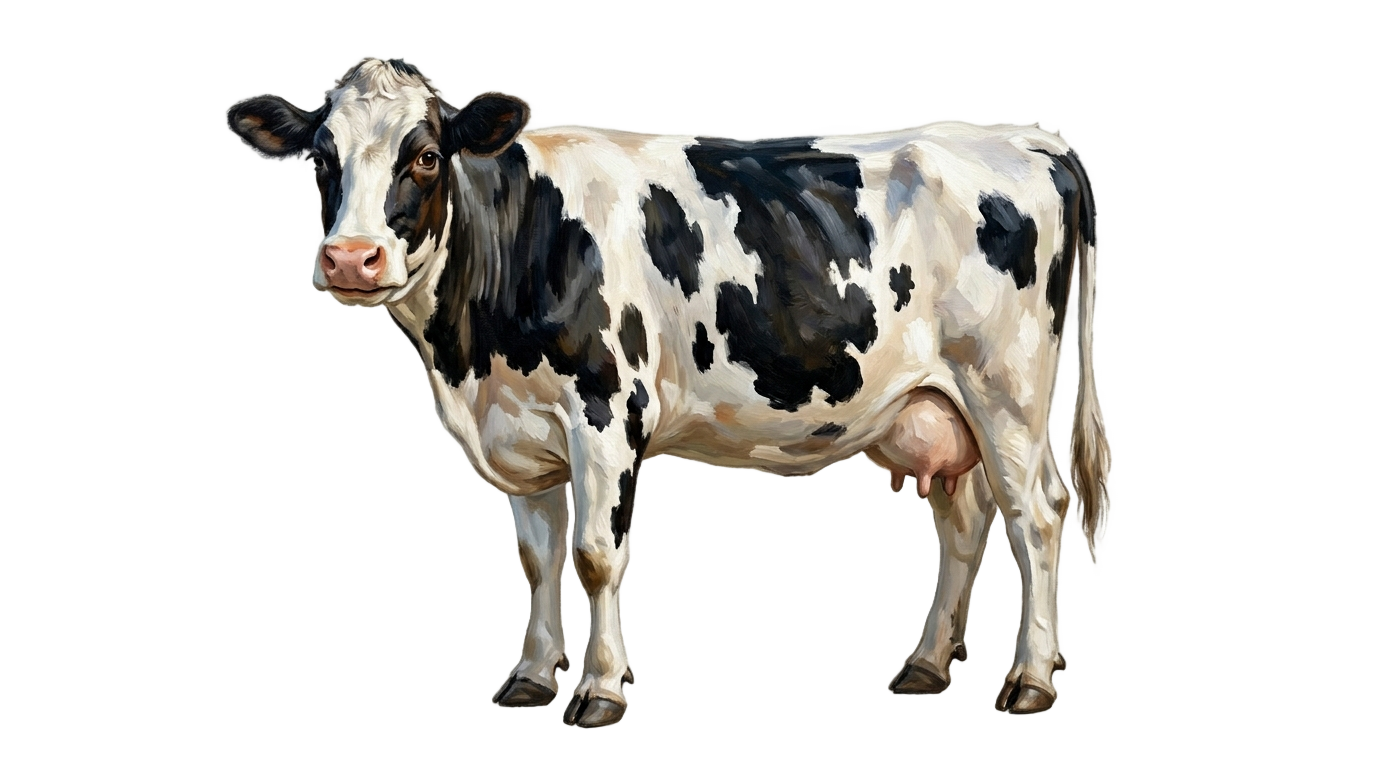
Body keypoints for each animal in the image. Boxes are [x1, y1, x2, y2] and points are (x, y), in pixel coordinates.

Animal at [226, 58, 1108, 725]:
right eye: (320, 158)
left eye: (427, 156)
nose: (351, 259)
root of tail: (1025, 140)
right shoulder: (515, 434)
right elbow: (532, 561)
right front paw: (532, 677)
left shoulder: (609, 414)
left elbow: (594, 557)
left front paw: (601, 690)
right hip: (939, 406)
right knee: (961, 521)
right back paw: (927, 663)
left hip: (1006, 391)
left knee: (1036, 517)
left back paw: (1031, 679)